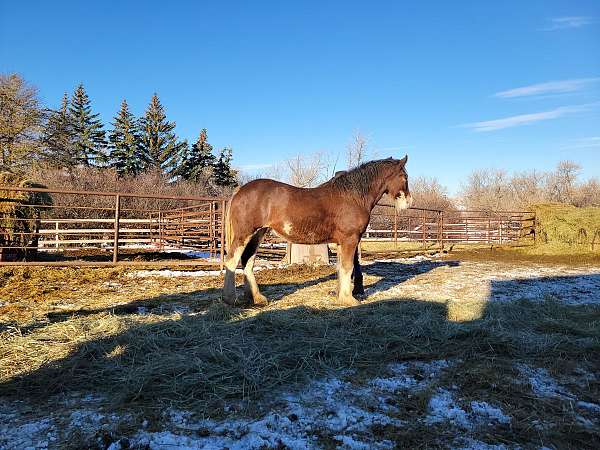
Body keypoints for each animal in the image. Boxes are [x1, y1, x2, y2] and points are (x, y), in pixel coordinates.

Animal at [220, 156, 412, 308]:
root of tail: (240, 190)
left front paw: (340, 296)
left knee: (247, 261)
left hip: (258, 233)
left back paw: (257, 298)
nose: (409, 202)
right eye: (405, 176)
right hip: (244, 233)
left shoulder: (341, 242)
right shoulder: (350, 239)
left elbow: (341, 268)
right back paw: (230, 299)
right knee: (232, 261)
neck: (353, 196)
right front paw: (349, 299)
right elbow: (348, 267)